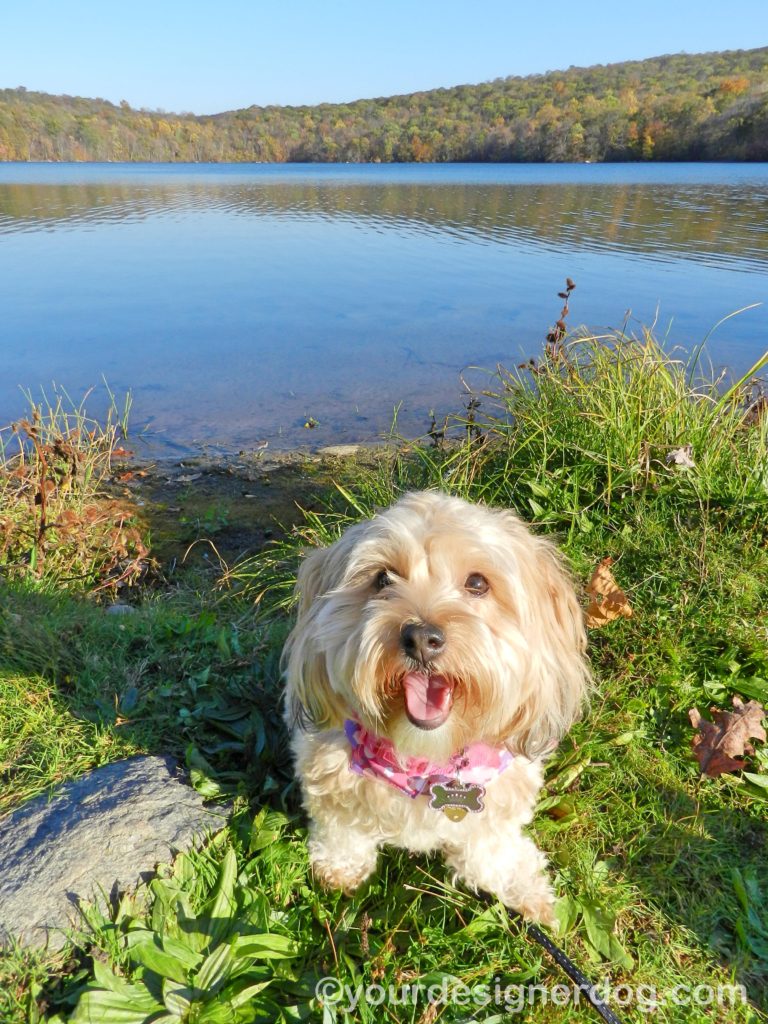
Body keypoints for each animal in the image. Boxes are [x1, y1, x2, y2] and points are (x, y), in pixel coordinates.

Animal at [282, 491, 589, 925]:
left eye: (477, 583)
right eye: (383, 579)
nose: (421, 638)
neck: (425, 761)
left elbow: (491, 853)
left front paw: (526, 890)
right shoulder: (326, 776)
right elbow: (343, 831)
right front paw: (340, 870)